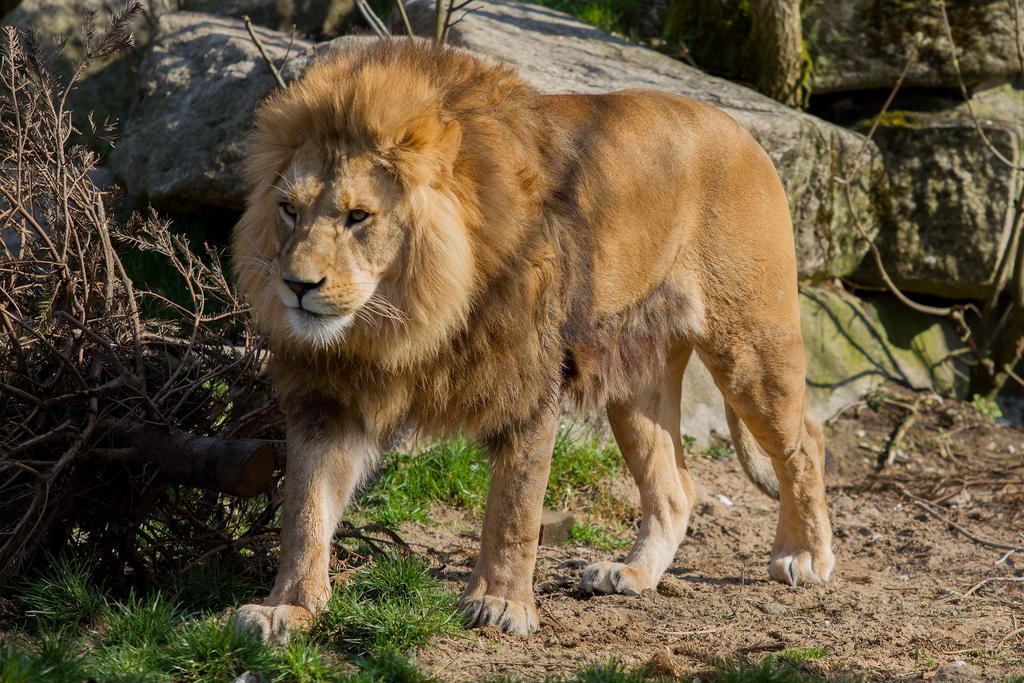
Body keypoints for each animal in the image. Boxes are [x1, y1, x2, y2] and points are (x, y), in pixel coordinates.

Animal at [231, 38, 834, 643]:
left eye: (358, 216)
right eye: (288, 209)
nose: (297, 286)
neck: (405, 321)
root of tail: (739, 128)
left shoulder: (528, 383)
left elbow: (513, 508)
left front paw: (501, 602)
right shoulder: (327, 395)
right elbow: (304, 510)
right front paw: (288, 608)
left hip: (750, 347)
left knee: (805, 440)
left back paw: (804, 555)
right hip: (635, 381)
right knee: (676, 488)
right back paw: (634, 572)